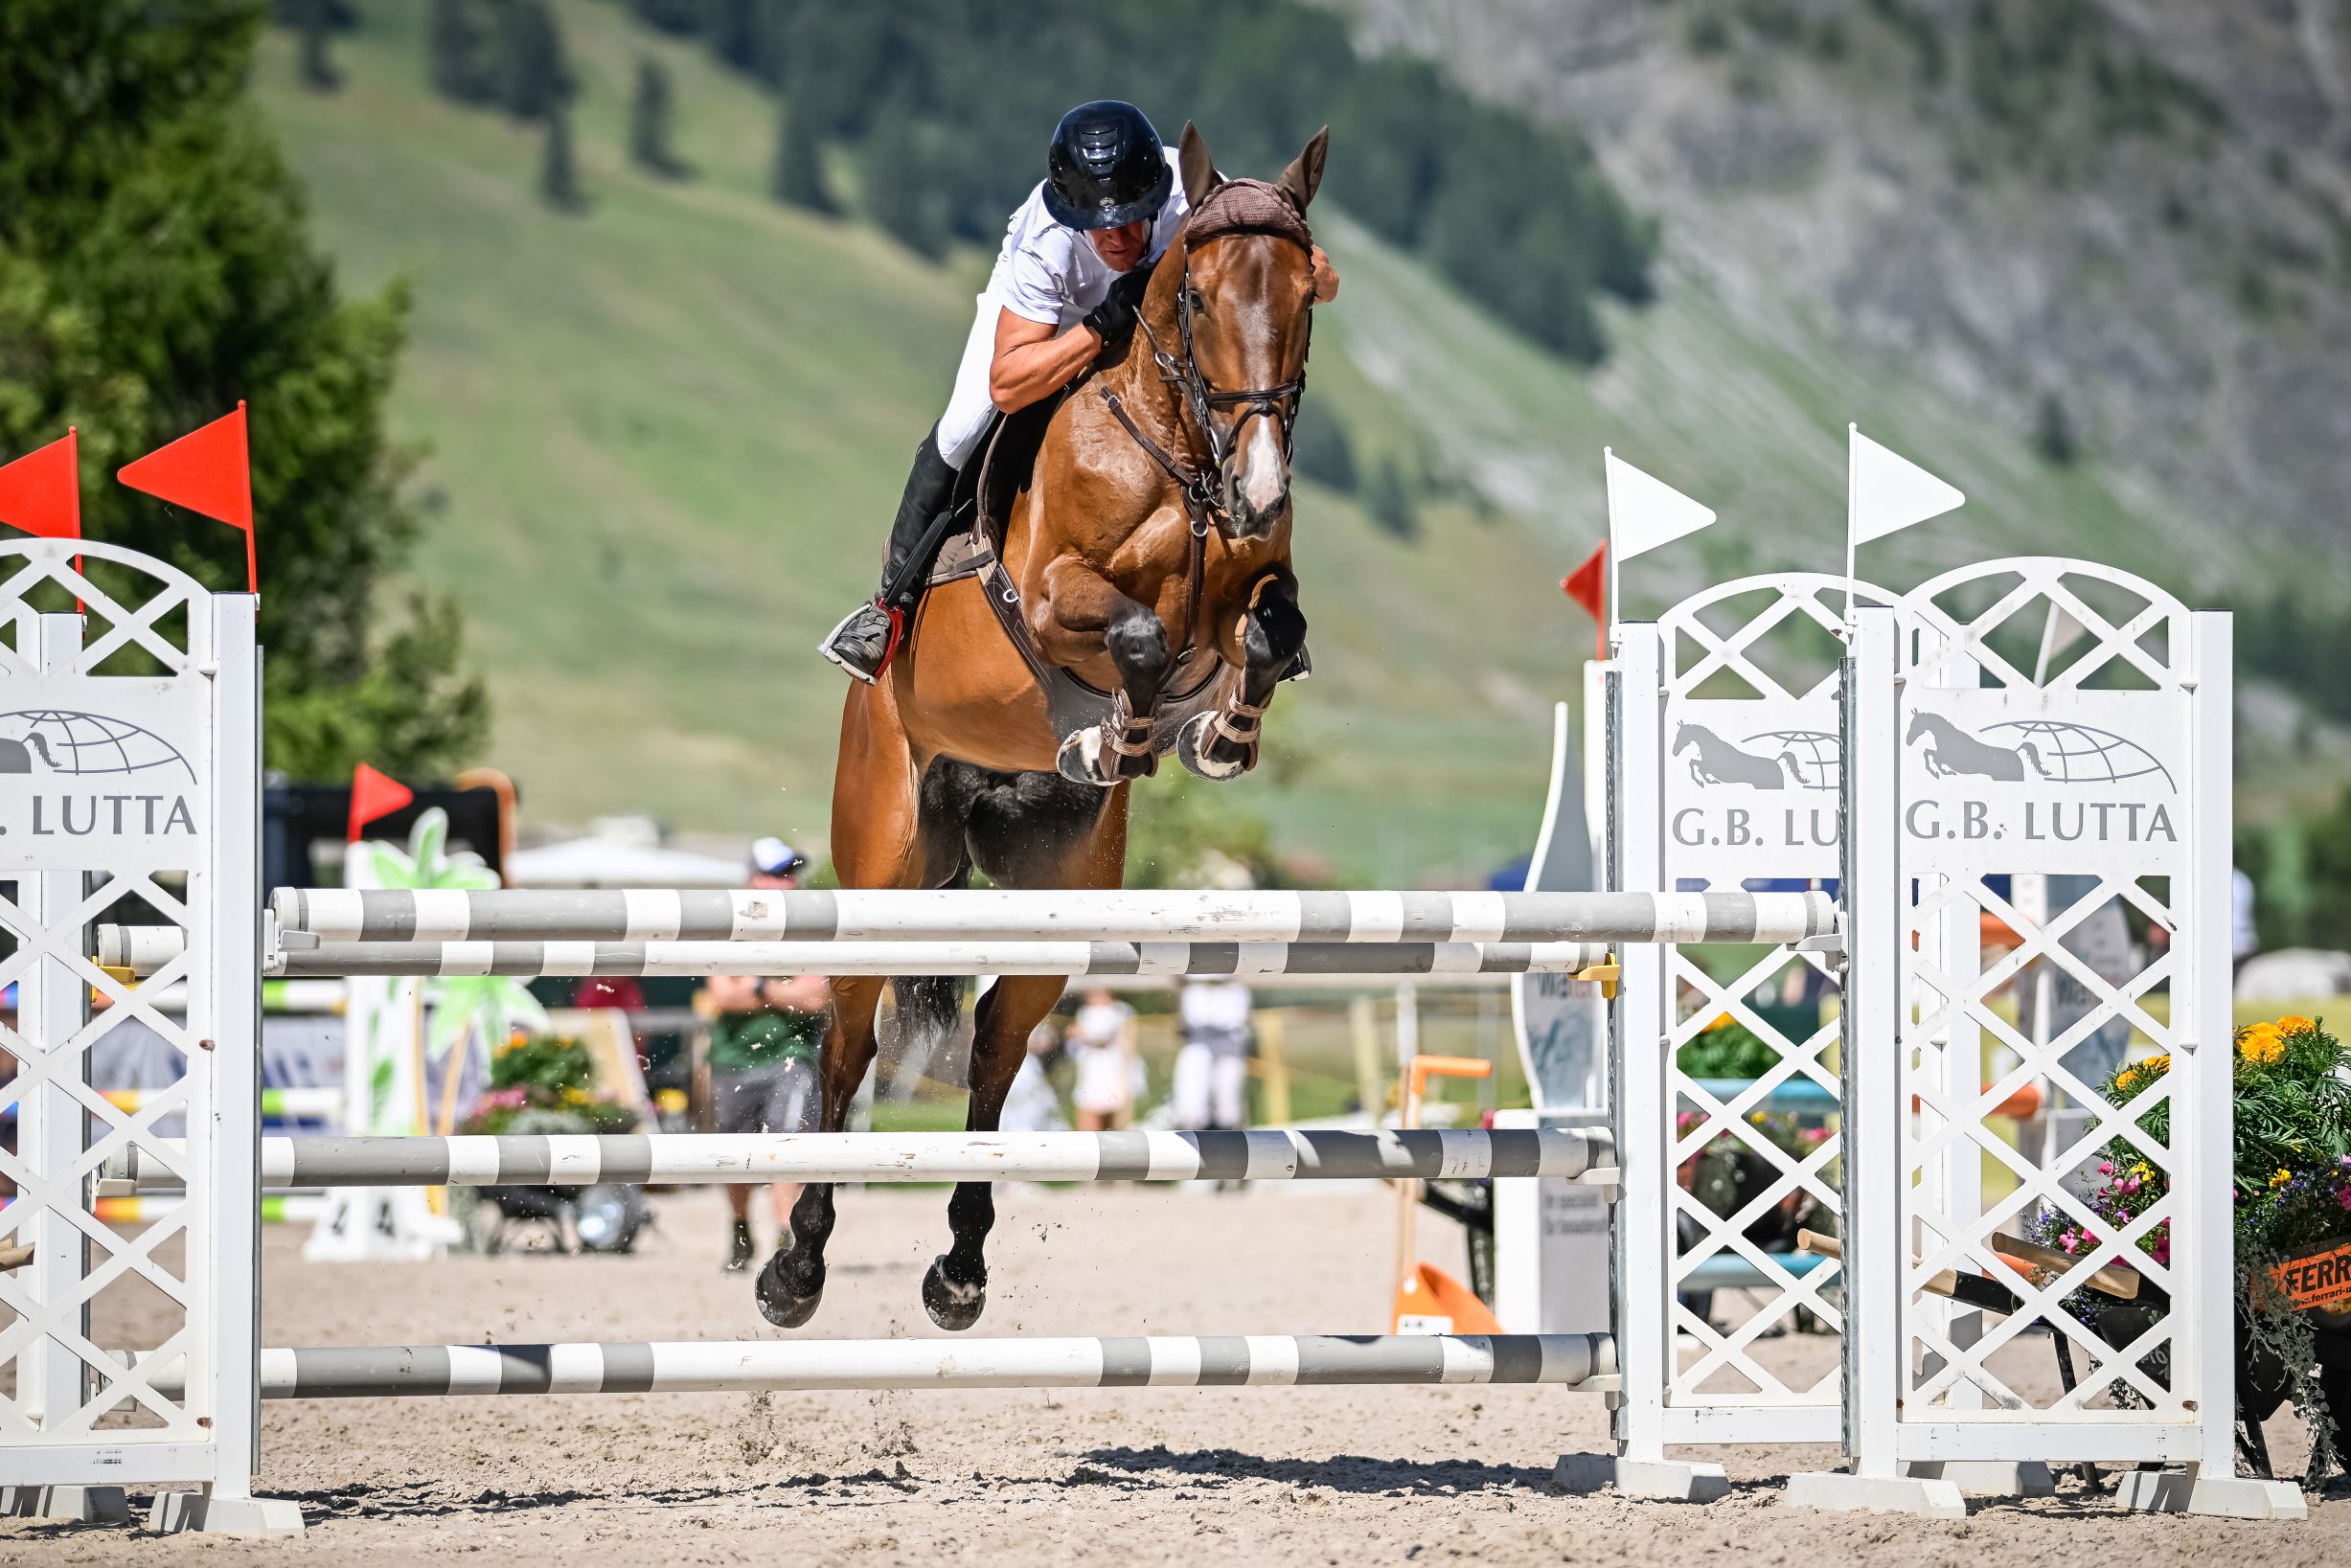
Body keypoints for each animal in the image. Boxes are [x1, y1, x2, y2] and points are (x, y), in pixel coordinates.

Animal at [755, 124, 1327, 1332]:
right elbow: (1141, 635)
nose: (1259, 483)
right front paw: (1116, 733)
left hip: (1056, 892)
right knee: (847, 1042)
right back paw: (796, 1268)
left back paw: (960, 1269)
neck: (1181, 454)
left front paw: (1218, 734)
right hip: (884, 857)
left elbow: (1269, 626)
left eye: (1311, 293)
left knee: (995, 1046)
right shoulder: (1059, 593)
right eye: (1196, 295)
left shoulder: (1254, 582)